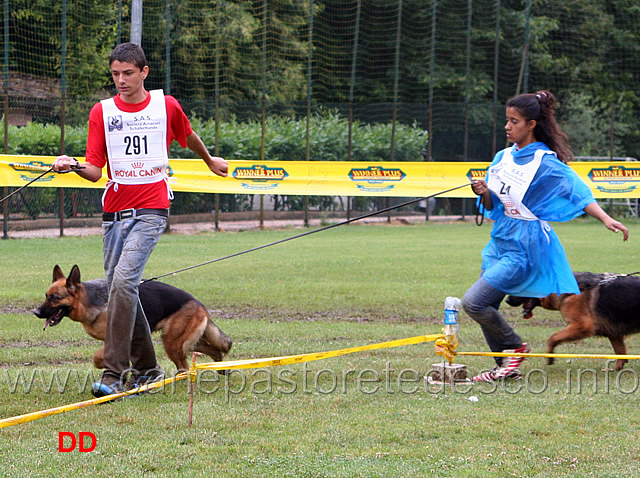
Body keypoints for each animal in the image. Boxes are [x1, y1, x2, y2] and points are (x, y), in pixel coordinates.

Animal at [33, 268, 232, 372]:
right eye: (46, 296)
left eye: (55, 298)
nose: (36, 312)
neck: (91, 300)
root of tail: (199, 304)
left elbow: (98, 356)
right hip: (183, 341)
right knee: (214, 350)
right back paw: (221, 367)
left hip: (173, 342)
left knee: (184, 365)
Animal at [504, 272, 640, 370]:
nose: (507, 300)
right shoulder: (613, 333)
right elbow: (620, 351)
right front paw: (618, 367)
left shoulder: (582, 326)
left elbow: (553, 337)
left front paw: (550, 356)